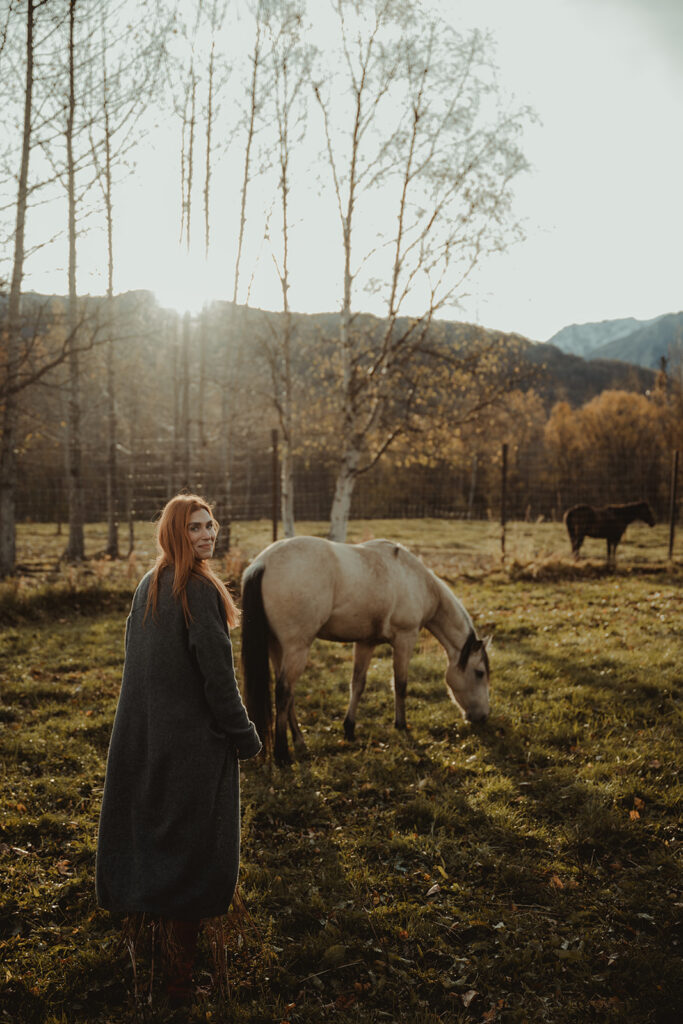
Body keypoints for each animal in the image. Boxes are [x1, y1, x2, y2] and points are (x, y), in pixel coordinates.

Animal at [240, 536, 491, 761]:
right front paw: (401, 725)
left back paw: (300, 742)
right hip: (297, 648)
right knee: (284, 692)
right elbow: (400, 684)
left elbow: (358, 685)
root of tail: (262, 563)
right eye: (479, 673)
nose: (483, 717)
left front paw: (349, 728)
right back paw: (282, 754)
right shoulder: (405, 640)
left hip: (277, 646)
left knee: (287, 693)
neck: (415, 580)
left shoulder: (365, 643)